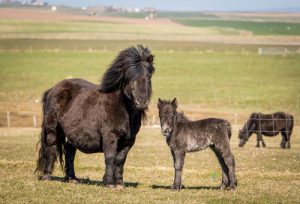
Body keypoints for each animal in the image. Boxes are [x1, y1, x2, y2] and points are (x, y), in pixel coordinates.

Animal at [35, 45, 155, 188]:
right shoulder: (110, 135)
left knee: (70, 151)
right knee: (51, 148)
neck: (123, 108)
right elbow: (110, 157)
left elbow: (120, 160)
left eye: (148, 76)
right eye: (129, 76)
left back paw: (72, 178)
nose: (141, 101)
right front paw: (109, 183)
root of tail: (53, 89)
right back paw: (47, 176)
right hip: (52, 129)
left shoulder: (129, 140)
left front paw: (119, 183)